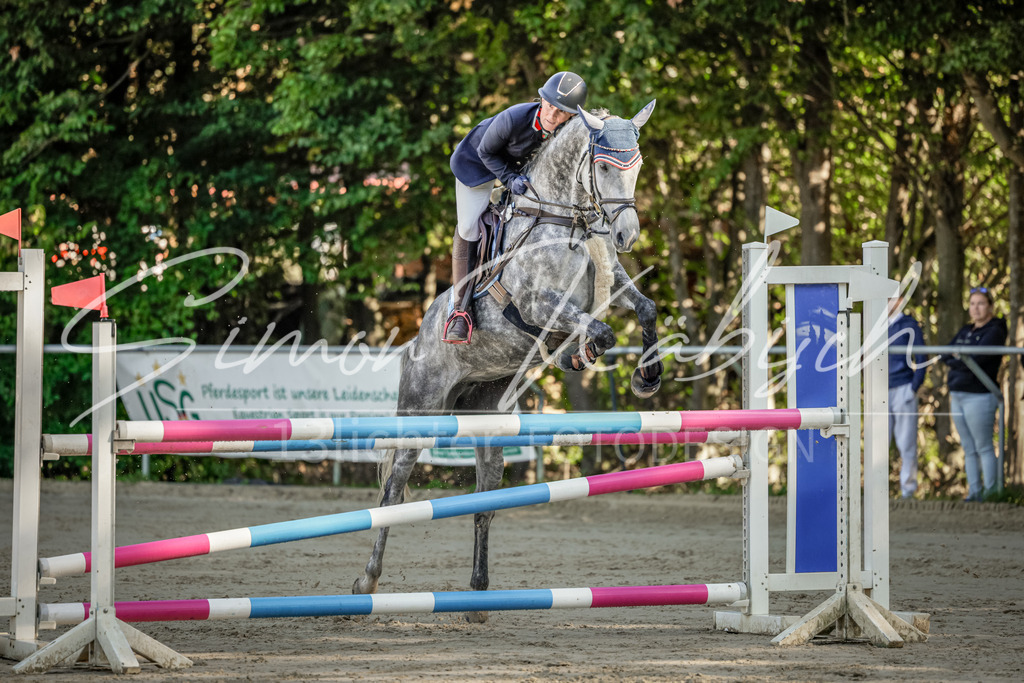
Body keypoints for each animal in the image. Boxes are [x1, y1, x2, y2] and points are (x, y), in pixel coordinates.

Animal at [353, 101, 665, 621]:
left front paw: (648, 378)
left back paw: (478, 597)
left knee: (484, 503)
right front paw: (577, 353)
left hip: (490, 421)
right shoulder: (539, 305)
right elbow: (596, 330)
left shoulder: (616, 286)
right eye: (603, 167)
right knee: (393, 490)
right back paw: (367, 582)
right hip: (421, 410)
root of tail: (414, 344)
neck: (565, 221)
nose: (626, 235)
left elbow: (646, 308)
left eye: (637, 165)